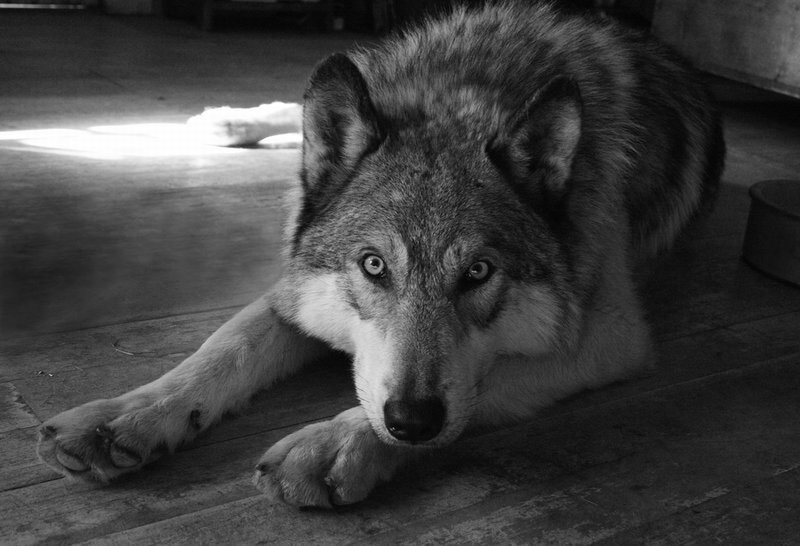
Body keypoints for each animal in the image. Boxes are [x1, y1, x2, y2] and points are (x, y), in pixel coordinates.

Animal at [37, 1, 725, 508]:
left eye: (478, 273)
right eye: (374, 265)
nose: (412, 422)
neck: (464, 96)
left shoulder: (609, 335)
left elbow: (481, 383)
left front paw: (337, 444)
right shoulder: (294, 286)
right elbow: (222, 349)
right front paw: (124, 419)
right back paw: (230, 123)